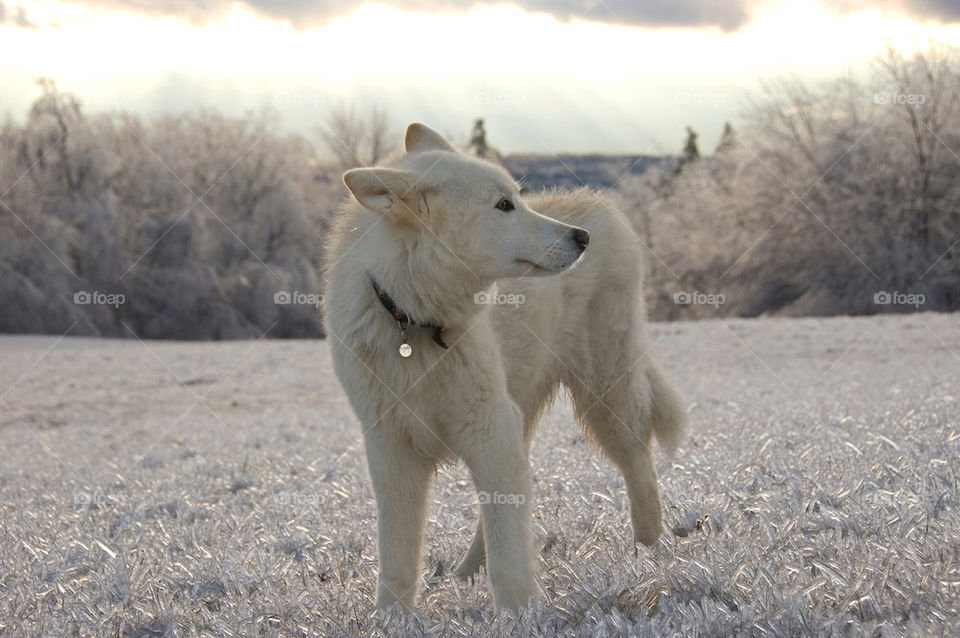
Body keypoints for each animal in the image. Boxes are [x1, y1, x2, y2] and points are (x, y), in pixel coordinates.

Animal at [326, 122, 688, 612]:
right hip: (527, 412)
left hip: (604, 395)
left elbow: (508, 547)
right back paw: (465, 574)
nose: (581, 238)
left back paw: (650, 553)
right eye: (503, 206)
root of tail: (601, 204)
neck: (415, 324)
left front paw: (520, 613)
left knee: (638, 466)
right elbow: (397, 557)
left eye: (518, 197)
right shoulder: (392, 449)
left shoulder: (489, 431)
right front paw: (391, 619)